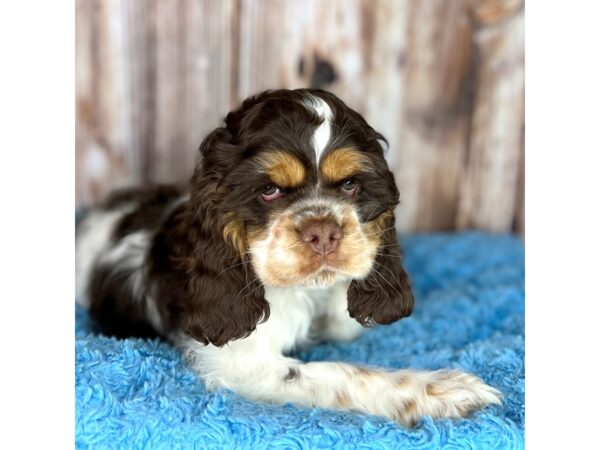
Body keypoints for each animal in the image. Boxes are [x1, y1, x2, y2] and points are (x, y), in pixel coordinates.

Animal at [76, 88, 502, 426]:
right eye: (269, 190)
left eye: (350, 184)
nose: (324, 232)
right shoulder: (242, 363)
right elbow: (339, 374)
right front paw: (445, 390)